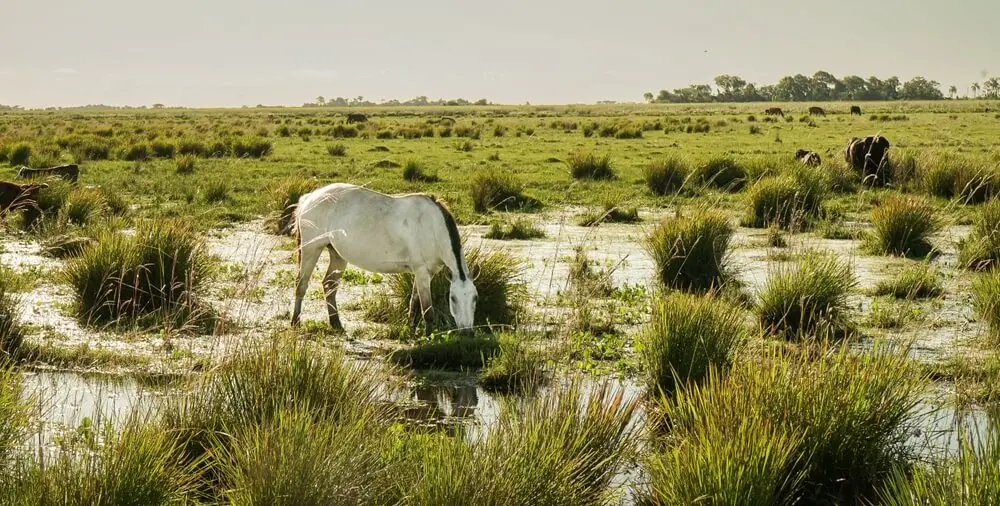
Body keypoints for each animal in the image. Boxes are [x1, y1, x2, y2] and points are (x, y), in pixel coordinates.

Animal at [290, 183, 477, 336]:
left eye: (475, 298)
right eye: (453, 298)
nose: (467, 332)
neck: (432, 227)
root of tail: (310, 197)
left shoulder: (424, 273)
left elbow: (414, 302)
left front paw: (410, 328)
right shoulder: (422, 272)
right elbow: (427, 310)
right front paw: (428, 336)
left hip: (337, 255)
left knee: (329, 286)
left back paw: (336, 324)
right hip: (310, 249)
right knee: (301, 285)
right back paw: (295, 322)